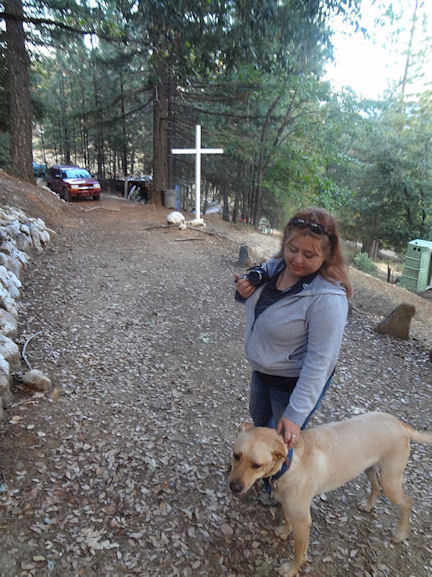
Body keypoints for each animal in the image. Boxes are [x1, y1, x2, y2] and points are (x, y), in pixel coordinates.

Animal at [228, 412, 432, 577]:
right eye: (236, 455)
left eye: (257, 465)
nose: (234, 487)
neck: (289, 463)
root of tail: (400, 424)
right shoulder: (287, 504)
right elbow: (286, 518)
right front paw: (285, 532)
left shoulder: (303, 520)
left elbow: (299, 554)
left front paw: (291, 569)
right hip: (370, 469)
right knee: (376, 487)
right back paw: (368, 506)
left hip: (391, 481)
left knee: (407, 502)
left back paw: (400, 533)